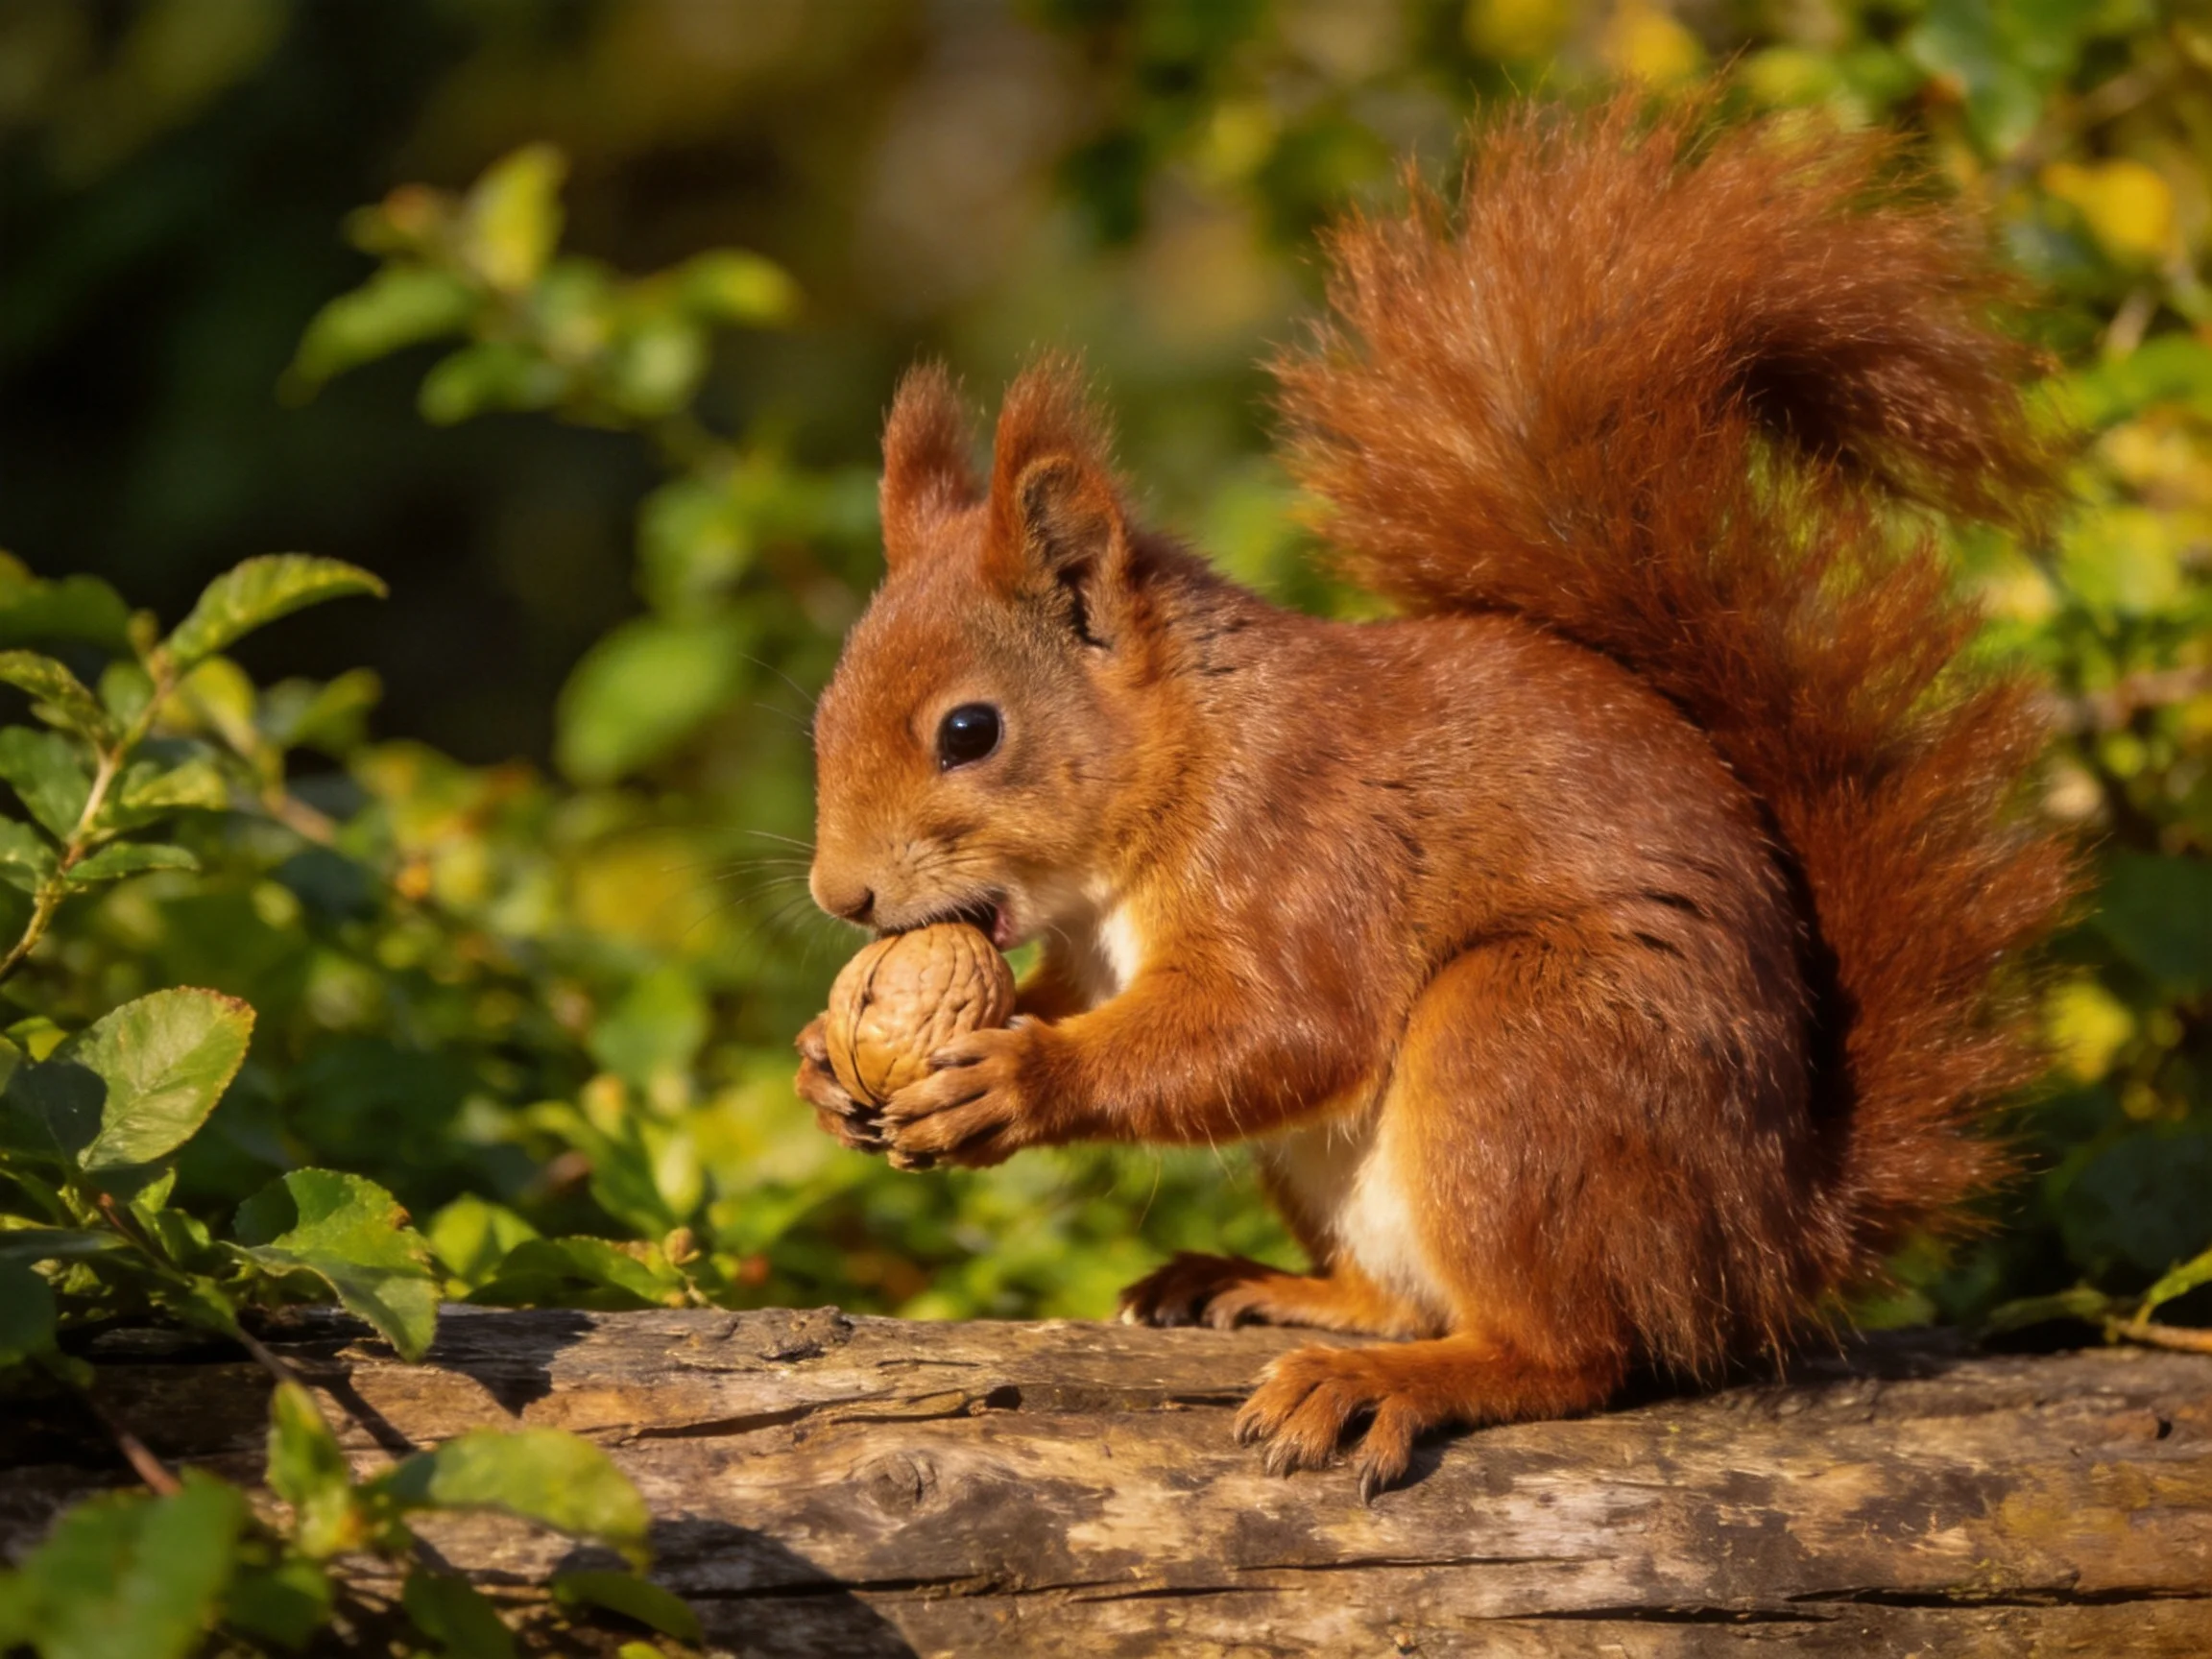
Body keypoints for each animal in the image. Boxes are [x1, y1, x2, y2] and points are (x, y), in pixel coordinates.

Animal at [793, 96, 2076, 1498]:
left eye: (969, 731)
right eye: (822, 713)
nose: (840, 897)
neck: (1183, 760)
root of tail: (1770, 1240)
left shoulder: (1307, 846)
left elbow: (1284, 1027)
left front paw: (1016, 1080)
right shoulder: (1095, 948)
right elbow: (1102, 1006)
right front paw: (823, 1064)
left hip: (1524, 1049)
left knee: (1572, 1352)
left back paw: (1396, 1379)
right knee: (1407, 1295)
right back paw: (1272, 1291)